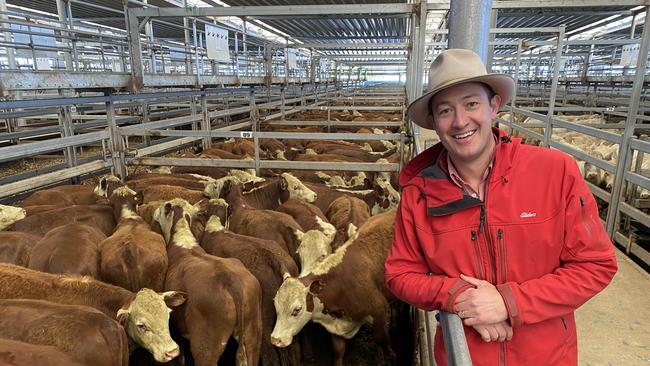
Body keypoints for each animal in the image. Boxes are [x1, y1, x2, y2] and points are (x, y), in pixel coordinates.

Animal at [268, 210, 394, 366]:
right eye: (276, 306)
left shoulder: (379, 313)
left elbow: (383, 342)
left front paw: (390, 357)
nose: (275, 339)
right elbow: (338, 352)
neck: (342, 284)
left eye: (296, 310)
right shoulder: (336, 329)